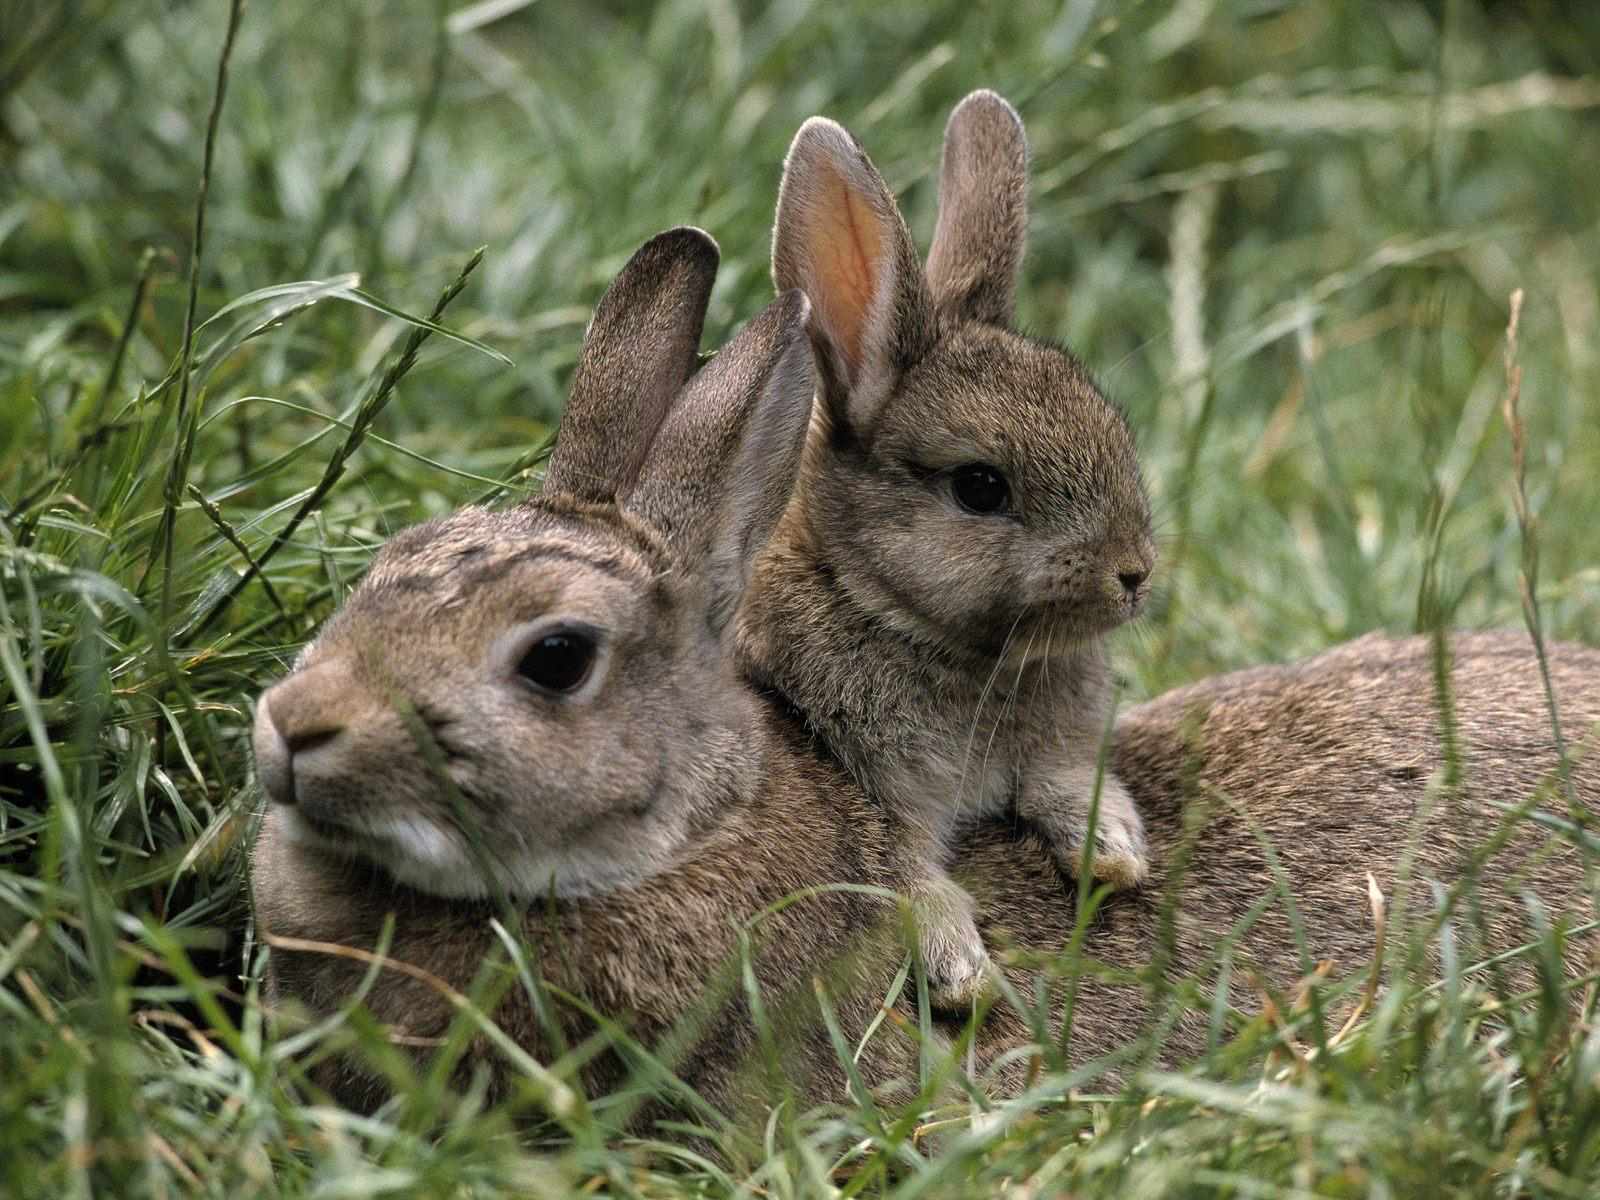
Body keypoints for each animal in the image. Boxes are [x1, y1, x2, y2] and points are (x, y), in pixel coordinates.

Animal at [732, 89, 1158, 1004]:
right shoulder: (869, 789)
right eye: (980, 487)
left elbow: (1067, 782)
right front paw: (962, 971)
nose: (1134, 574)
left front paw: (1113, 852)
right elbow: (901, 872)